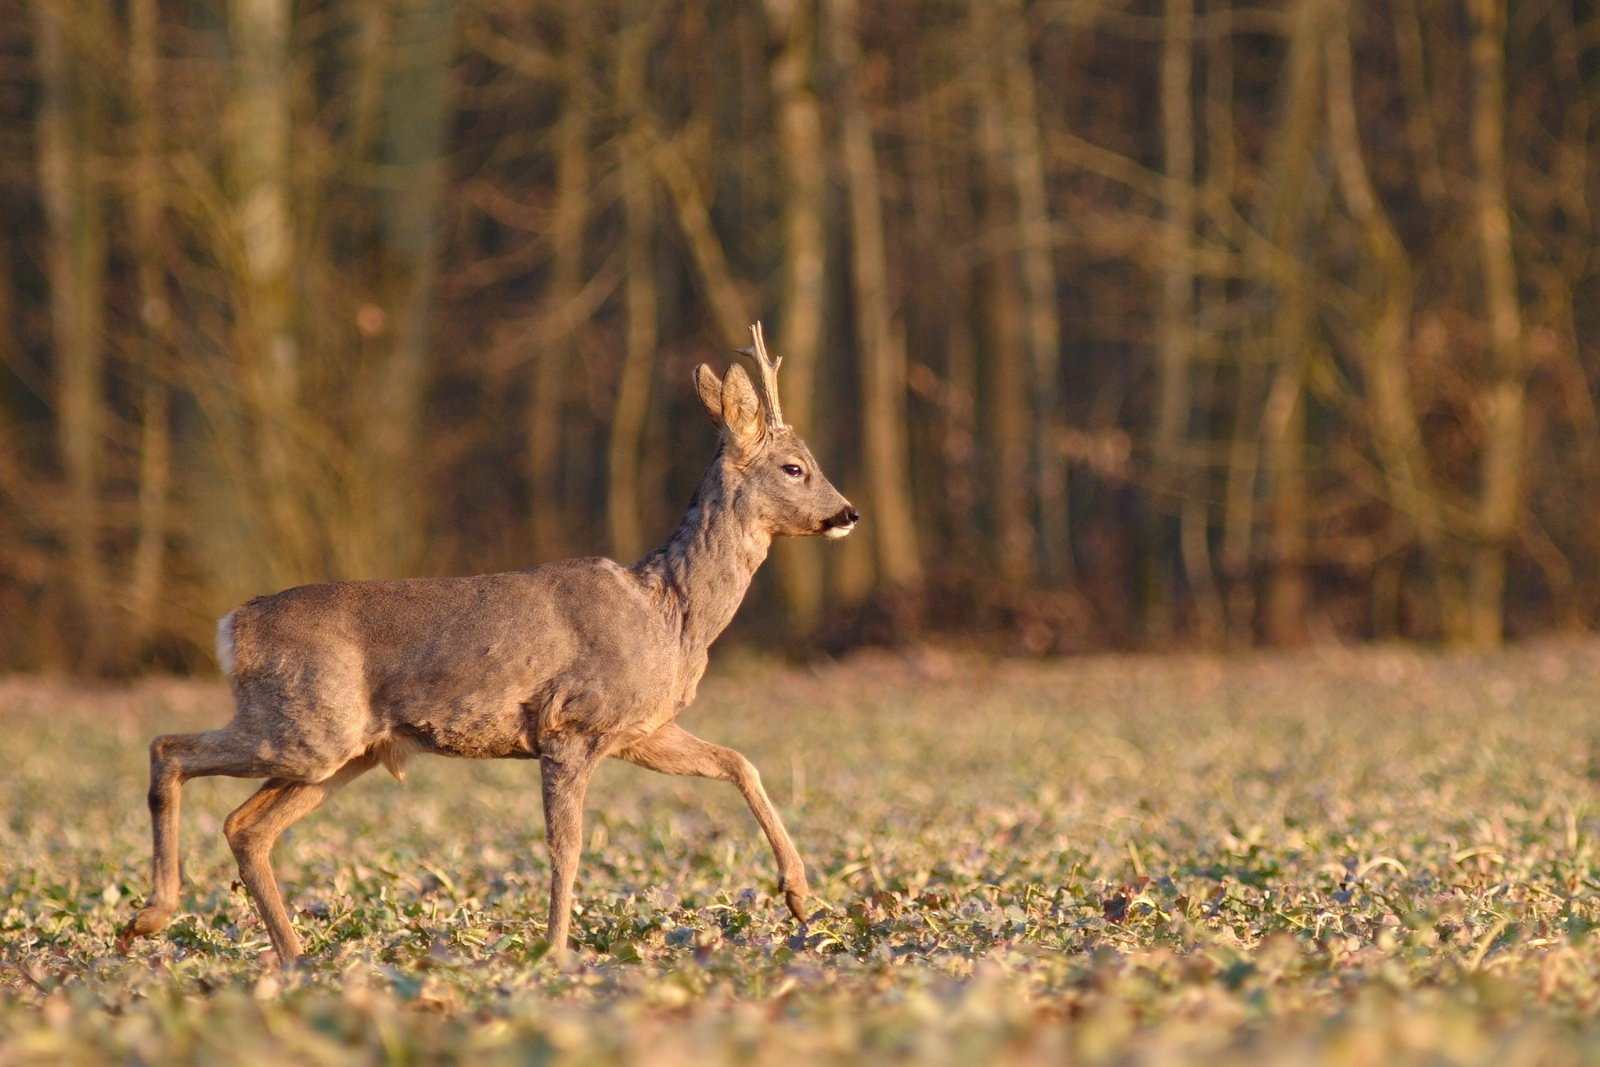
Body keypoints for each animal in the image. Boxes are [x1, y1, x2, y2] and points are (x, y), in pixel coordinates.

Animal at [116, 326, 857, 966]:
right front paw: (555, 952)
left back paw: (295, 956)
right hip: (307, 729)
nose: (847, 513)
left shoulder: (640, 730)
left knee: (246, 825)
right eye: (794, 467)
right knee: (168, 748)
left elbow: (739, 762)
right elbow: (566, 846)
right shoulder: (570, 724)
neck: (669, 613)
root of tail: (231, 626)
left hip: (340, 751)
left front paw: (799, 895)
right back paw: (150, 917)